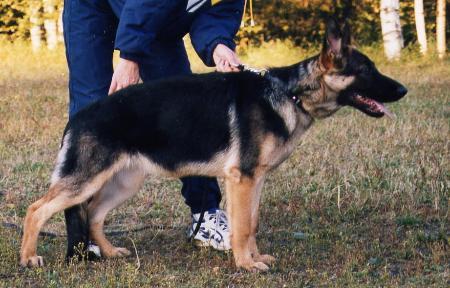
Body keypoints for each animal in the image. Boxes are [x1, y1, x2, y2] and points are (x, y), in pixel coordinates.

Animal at [20, 19, 408, 272]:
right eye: (367, 70)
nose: (403, 90)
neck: (290, 92)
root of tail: (78, 117)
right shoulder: (242, 180)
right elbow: (242, 227)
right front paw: (245, 265)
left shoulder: (254, 181)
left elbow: (251, 223)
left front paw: (254, 258)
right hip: (85, 181)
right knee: (37, 209)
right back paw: (28, 258)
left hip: (124, 182)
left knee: (95, 214)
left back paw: (111, 252)